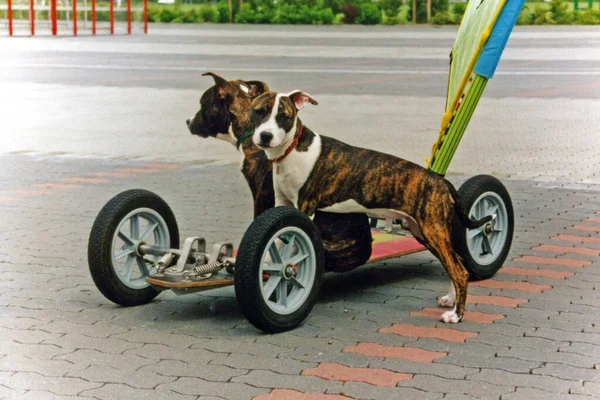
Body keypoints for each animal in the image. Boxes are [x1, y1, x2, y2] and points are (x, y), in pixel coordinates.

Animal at [248, 90, 492, 322]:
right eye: (260, 111)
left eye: (283, 117)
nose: (266, 136)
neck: (292, 149)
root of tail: (440, 181)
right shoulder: (283, 204)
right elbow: (276, 244)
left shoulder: (304, 208)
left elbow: (291, 245)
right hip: (423, 231)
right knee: (457, 263)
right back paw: (450, 300)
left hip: (434, 230)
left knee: (459, 271)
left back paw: (456, 315)